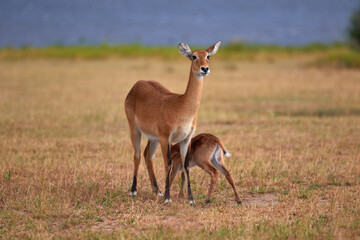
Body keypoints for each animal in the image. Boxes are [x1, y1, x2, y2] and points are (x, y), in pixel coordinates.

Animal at [124, 40, 221, 204]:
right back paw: (133, 191)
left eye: (208, 56)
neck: (181, 107)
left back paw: (157, 191)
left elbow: (186, 165)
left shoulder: (186, 139)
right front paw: (168, 198)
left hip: (153, 138)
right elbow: (167, 163)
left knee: (147, 155)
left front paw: (191, 199)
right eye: (194, 56)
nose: (205, 68)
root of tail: (137, 84)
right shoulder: (166, 138)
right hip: (134, 130)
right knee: (137, 155)